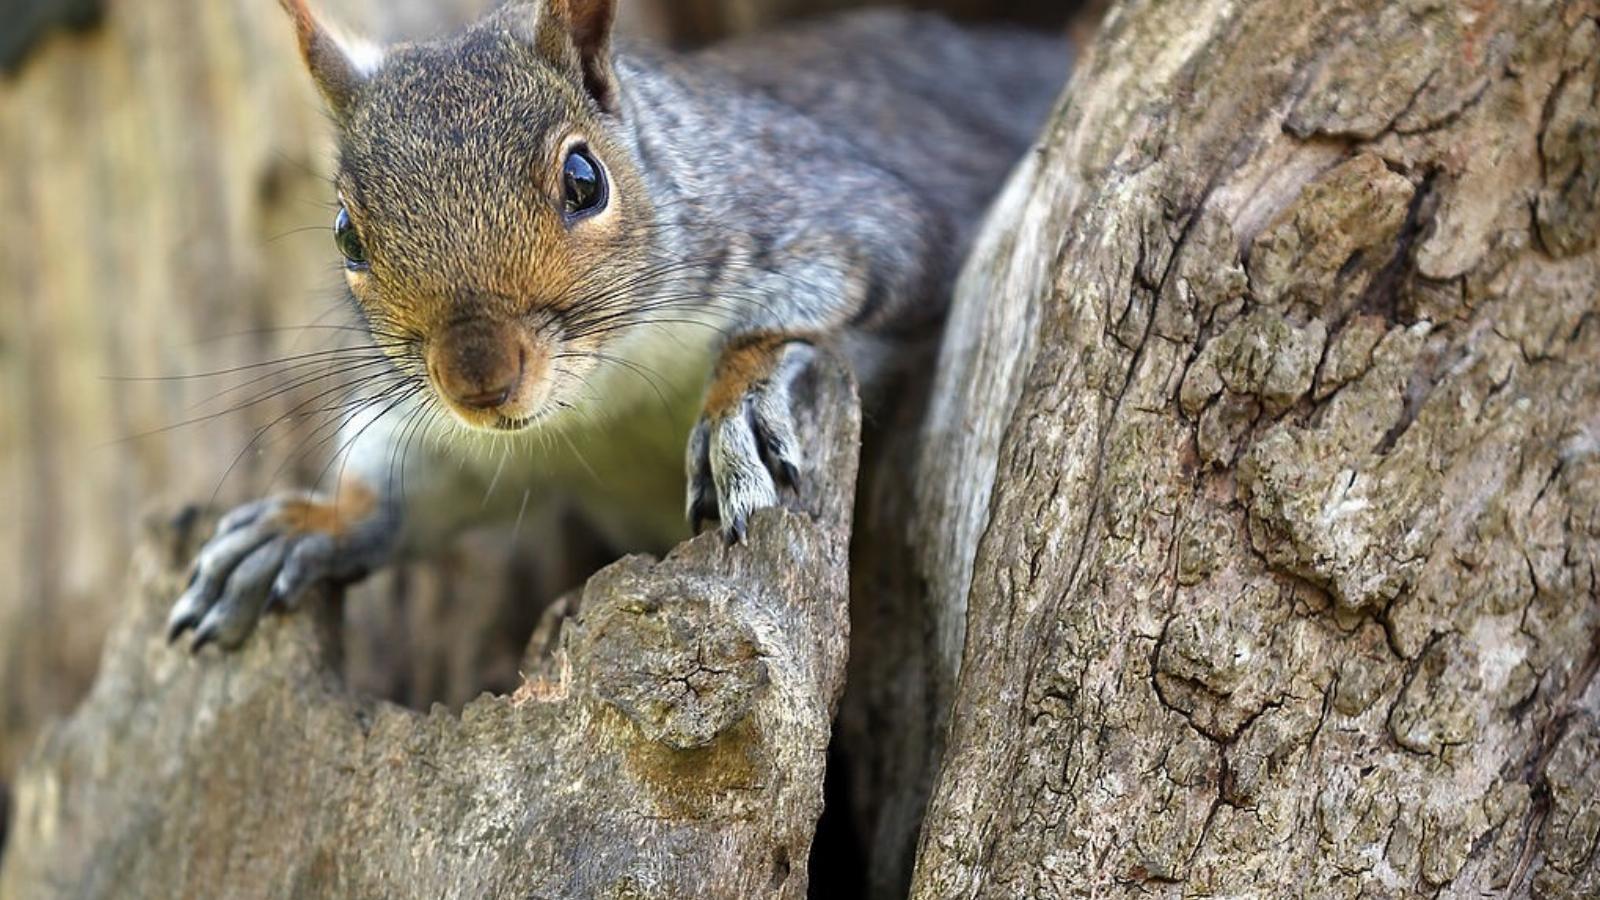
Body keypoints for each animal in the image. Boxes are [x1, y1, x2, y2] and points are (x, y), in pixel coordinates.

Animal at [162, 0, 1068, 646]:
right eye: (346, 233)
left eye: (584, 180)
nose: (478, 380)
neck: (604, 394)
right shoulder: (453, 432)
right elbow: (412, 488)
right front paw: (304, 526)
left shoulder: (847, 221)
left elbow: (812, 307)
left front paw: (736, 405)